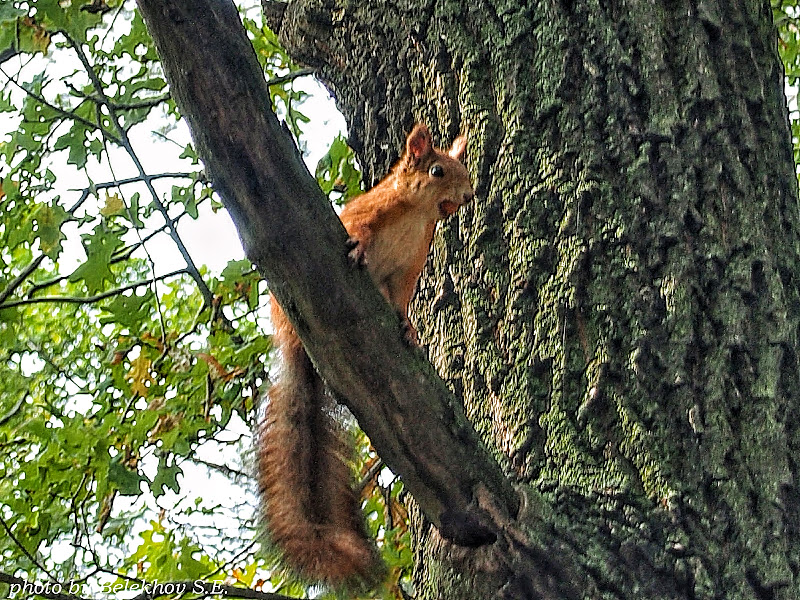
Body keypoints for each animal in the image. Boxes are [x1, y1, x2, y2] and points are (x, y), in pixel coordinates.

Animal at [260, 124, 476, 584]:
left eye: (465, 172)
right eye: (437, 170)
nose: (468, 196)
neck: (417, 216)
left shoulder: (409, 268)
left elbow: (400, 302)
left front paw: (409, 330)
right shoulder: (367, 214)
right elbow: (357, 230)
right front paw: (358, 249)